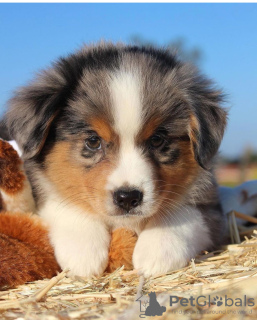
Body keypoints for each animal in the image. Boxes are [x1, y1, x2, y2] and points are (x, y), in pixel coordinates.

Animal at [5, 43, 226, 278]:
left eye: (157, 140)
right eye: (93, 141)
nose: (128, 198)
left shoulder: (211, 207)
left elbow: (185, 213)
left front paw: (157, 249)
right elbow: (66, 201)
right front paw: (83, 252)